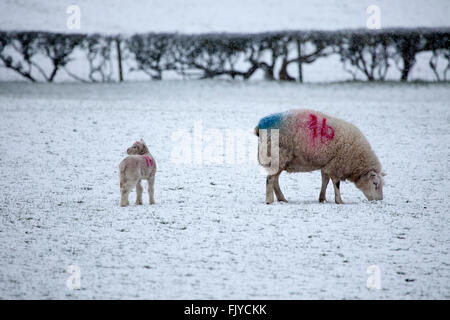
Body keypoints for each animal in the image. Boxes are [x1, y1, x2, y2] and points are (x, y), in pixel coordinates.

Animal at [255, 109, 384, 205]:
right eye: (375, 183)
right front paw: (339, 201)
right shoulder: (337, 165)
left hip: (280, 160)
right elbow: (336, 184)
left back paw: (282, 199)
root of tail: (260, 126)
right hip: (278, 156)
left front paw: (322, 199)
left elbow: (325, 182)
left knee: (275, 180)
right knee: (270, 179)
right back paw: (269, 201)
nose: (379, 200)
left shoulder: (327, 164)